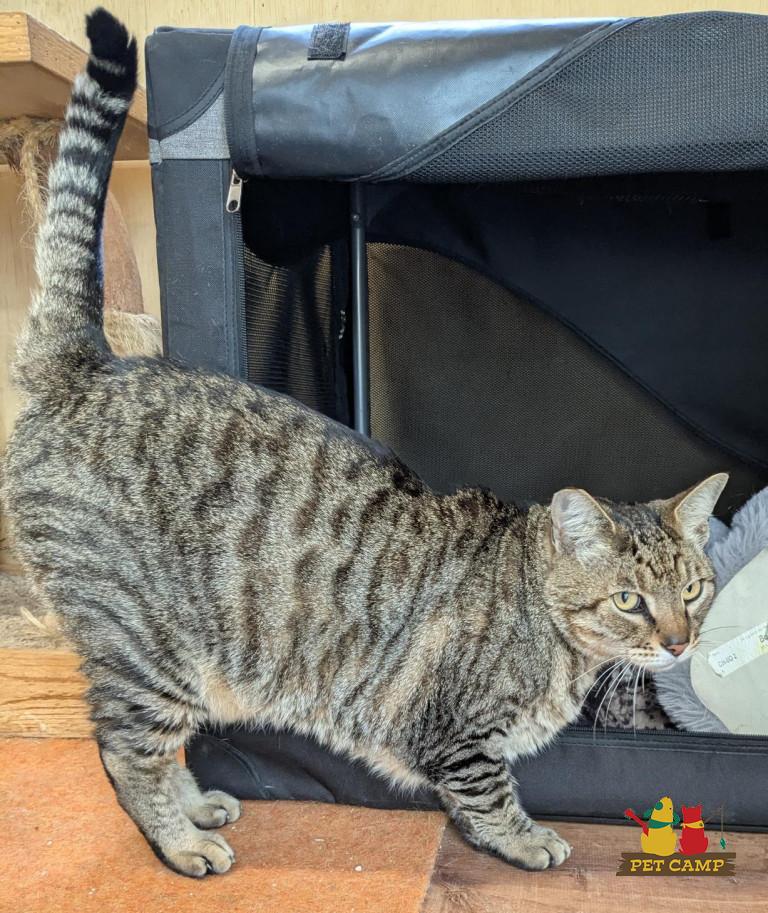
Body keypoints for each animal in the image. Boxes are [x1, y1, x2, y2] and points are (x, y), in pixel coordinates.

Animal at [2, 8, 728, 878]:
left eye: (693, 589)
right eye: (628, 600)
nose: (680, 641)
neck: (544, 626)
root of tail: (88, 365)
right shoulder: (456, 731)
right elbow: (489, 792)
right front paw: (528, 837)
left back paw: (198, 804)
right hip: (145, 646)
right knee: (125, 749)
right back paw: (181, 840)